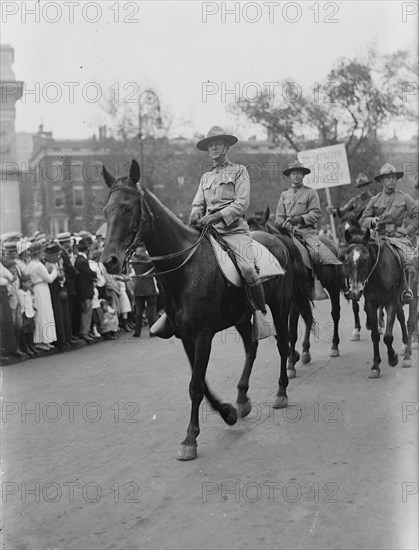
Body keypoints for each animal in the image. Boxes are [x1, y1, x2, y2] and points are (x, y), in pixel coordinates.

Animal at [101, 161, 312, 462]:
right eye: (106, 210)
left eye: (128, 207)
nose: (109, 260)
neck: (185, 268)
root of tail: (280, 241)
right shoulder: (186, 336)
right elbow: (199, 381)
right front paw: (228, 412)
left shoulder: (203, 334)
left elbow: (196, 385)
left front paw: (190, 438)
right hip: (242, 316)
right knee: (251, 347)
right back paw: (242, 399)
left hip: (281, 306)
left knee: (283, 343)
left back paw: (282, 390)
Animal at [342, 229, 418, 380]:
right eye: (346, 260)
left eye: (365, 259)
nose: (355, 291)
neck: (377, 273)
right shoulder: (371, 304)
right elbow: (375, 336)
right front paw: (375, 365)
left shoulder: (390, 303)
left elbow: (388, 337)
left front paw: (393, 358)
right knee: (401, 317)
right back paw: (405, 345)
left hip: (411, 295)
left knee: (411, 322)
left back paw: (407, 355)